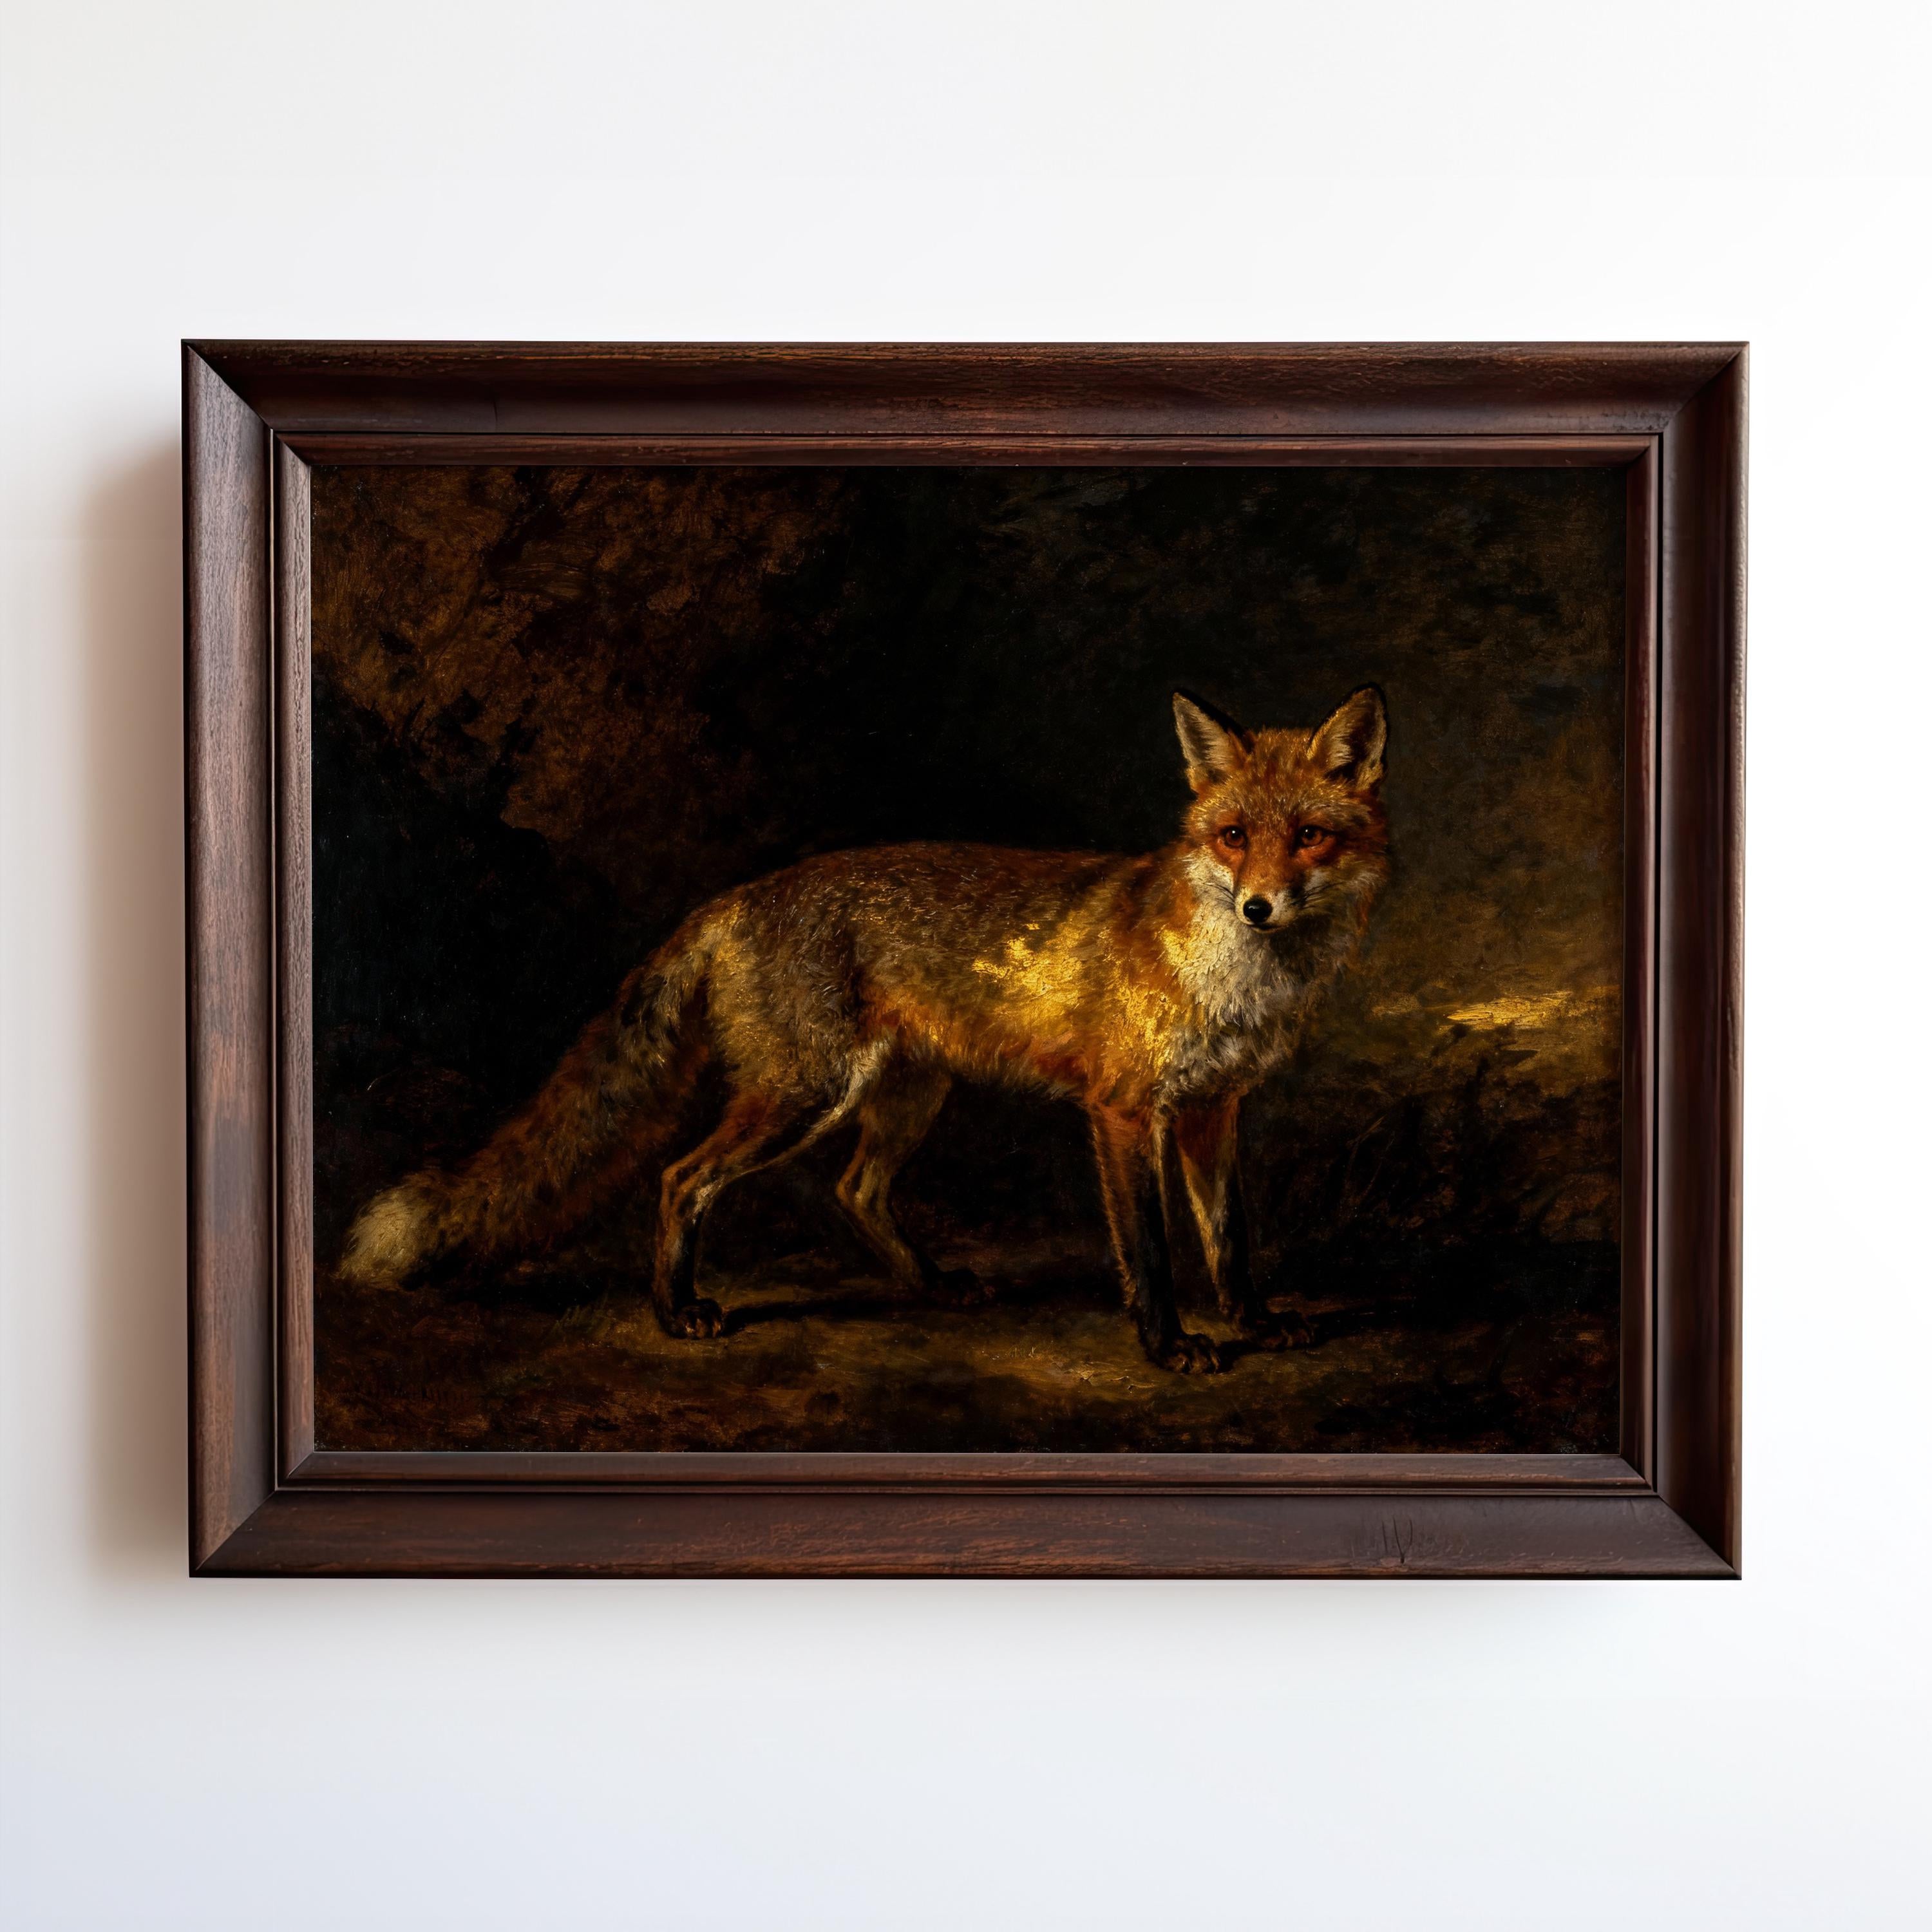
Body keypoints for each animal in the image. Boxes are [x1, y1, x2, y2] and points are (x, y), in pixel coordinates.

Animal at [339, 684, 1390, 1373]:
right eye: (1231, 837)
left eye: (1309, 837)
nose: (1258, 906)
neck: (1239, 980)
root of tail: (732, 898)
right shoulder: (1126, 1112)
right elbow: (1156, 1252)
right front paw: (1171, 1346)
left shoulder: (1214, 1109)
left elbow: (1230, 1237)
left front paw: (1254, 1321)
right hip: (807, 1093)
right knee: (682, 1178)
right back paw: (678, 1313)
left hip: (906, 1095)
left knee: (854, 1191)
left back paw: (930, 1284)